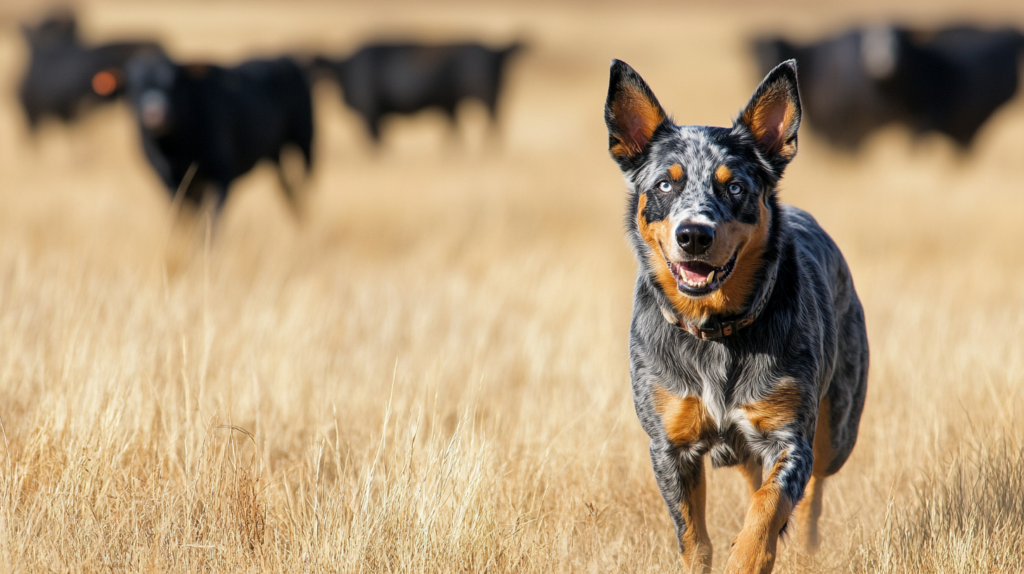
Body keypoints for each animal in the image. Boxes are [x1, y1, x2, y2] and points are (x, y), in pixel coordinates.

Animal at [602, 59, 868, 572]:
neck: (715, 331)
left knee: (813, 490)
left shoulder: (788, 435)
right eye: (665, 183)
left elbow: (768, 506)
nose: (694, 234)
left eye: (737, 186)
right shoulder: (670, 445)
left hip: (839, 425)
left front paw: (749, 555)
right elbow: (692, 534)